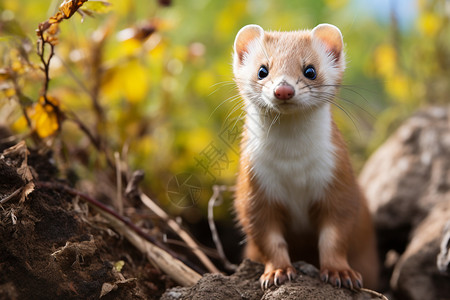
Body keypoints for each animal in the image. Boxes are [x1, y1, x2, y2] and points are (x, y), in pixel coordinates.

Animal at [234, 24, 378, 290]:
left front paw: (341, 273)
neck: (293, 166)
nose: (283, 89)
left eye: (310, 70)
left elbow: (335, 233)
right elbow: (267, 237)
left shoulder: (339, 180)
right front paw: (278, 271)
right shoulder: (253, 187)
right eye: (262, 70)